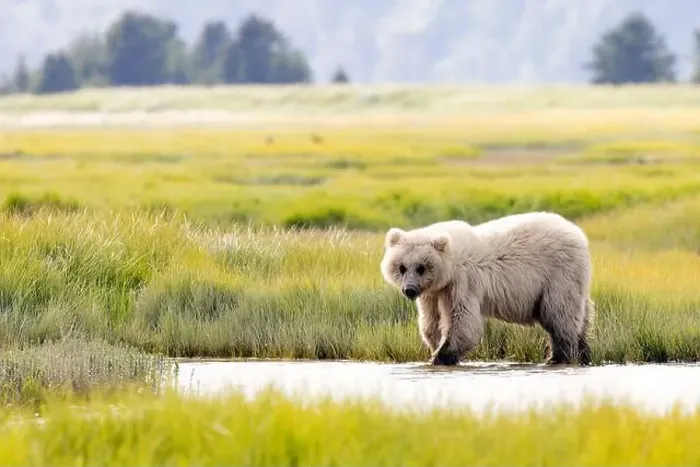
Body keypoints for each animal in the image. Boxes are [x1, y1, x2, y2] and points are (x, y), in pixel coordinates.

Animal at [379, 212, 595, 366]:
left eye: (421, 267)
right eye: (402, 267)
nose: (409, 290)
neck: (450, 266)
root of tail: (577, 232)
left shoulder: (462, 283)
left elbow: (463, 321)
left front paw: (441, 356)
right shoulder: (433, 293)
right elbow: (431, 321)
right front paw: (434, 347)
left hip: (559, 274)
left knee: (560, 314)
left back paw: (558, 356)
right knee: (582, 315)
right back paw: (584, 353)